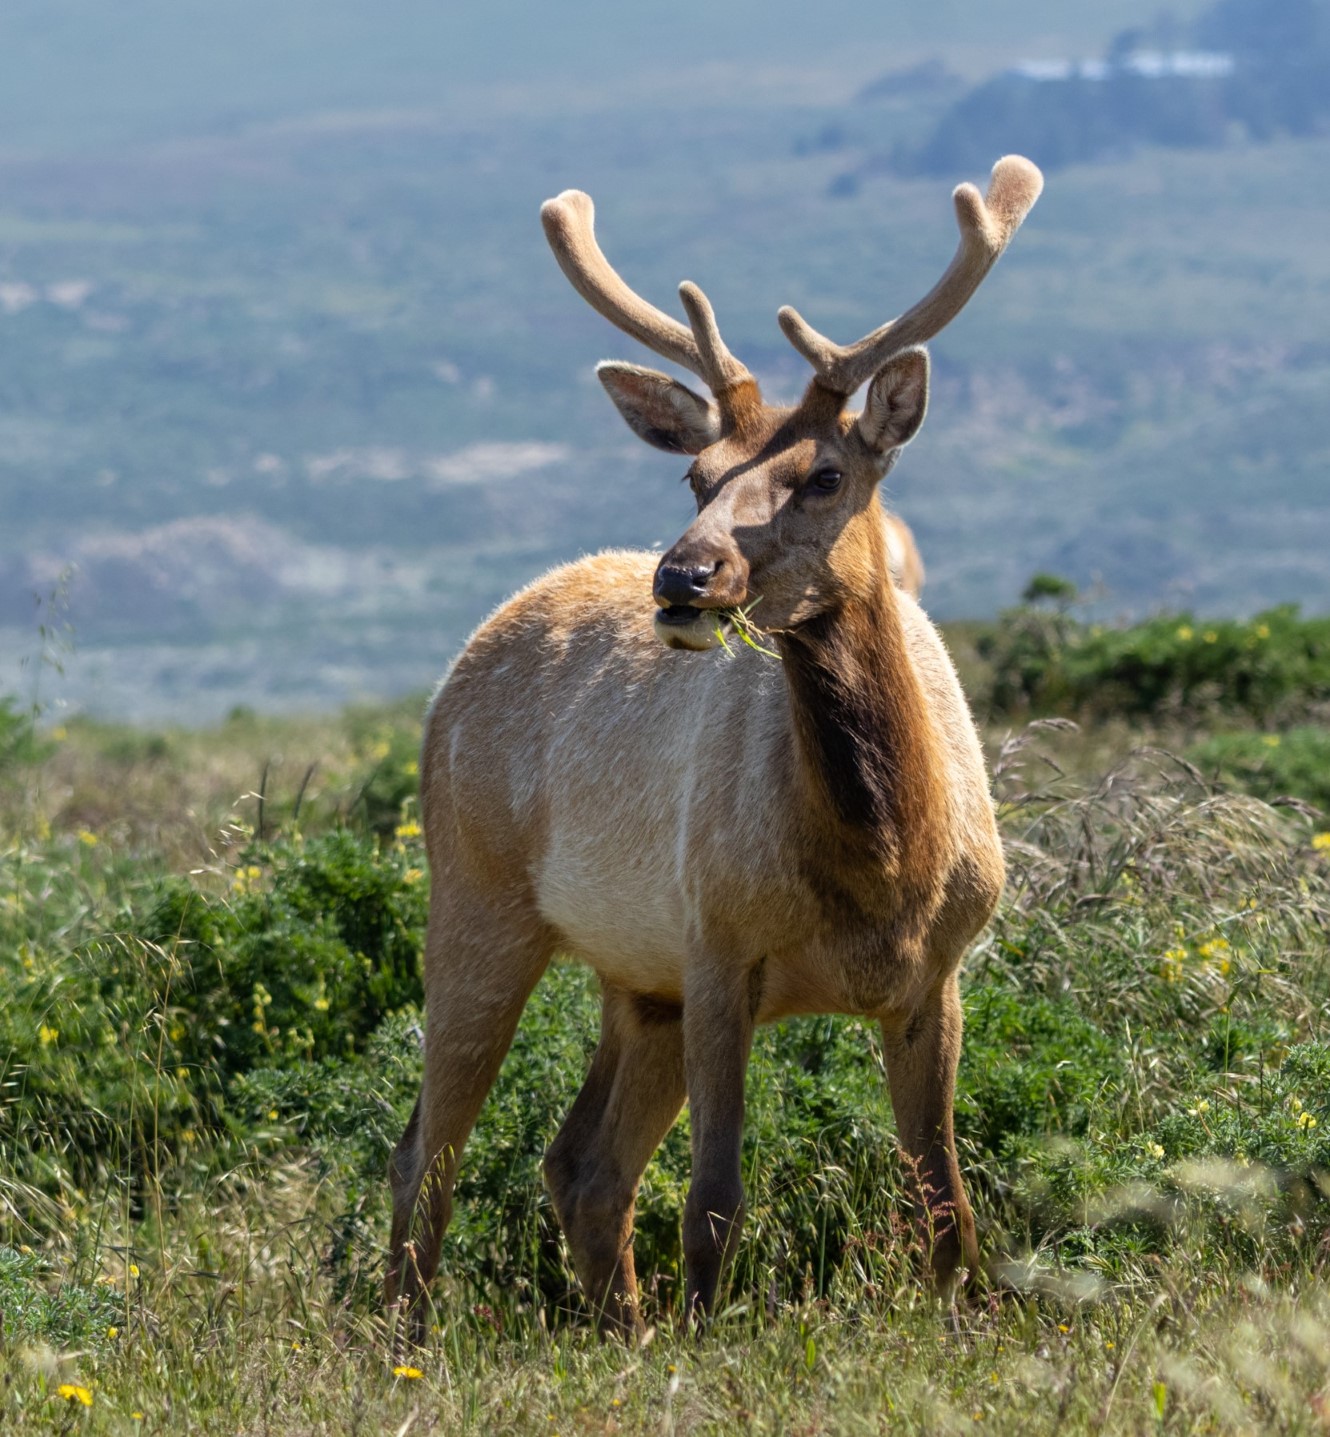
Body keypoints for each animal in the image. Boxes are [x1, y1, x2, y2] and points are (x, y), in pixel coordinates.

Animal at [386, 155, 1043, 1344]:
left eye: (826, 475)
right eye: (698, 477)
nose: (682, 577)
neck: (882, 870)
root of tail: (472, 651)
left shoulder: (938, 973)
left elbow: (946, 1198)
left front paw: (961, 1326)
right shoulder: (716, 945)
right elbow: (716, 1197)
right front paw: (707, 1339)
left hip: (635, 980)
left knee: (580, 1162)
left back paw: (621, 1329)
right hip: (476, 891)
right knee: (428, 1149)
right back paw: (402, 1339)